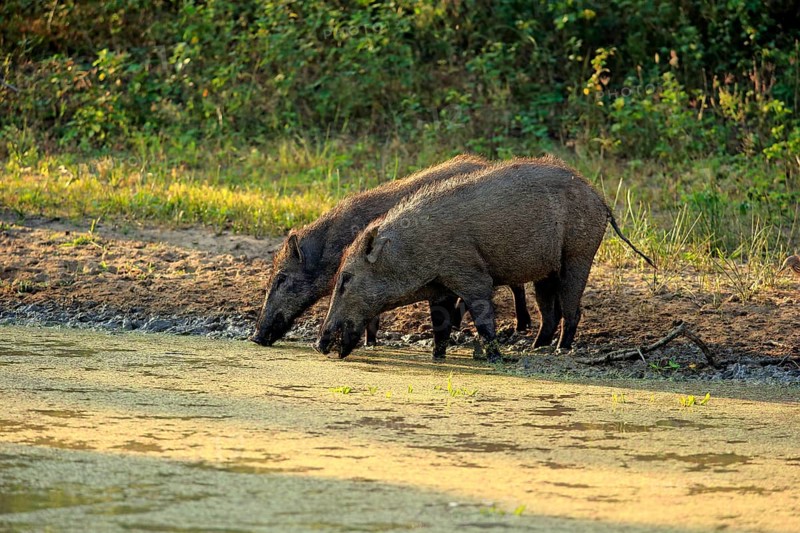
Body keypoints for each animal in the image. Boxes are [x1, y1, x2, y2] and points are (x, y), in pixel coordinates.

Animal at [317, 156, 655, 361]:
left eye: (345, 278)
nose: (318, 344)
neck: (412, 252)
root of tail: (600, 199)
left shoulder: (471, 275)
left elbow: (482, 317)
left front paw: (495, 357)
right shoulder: (440, 289)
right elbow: (439, 325)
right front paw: (437, 357)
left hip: (579, 254)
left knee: (573, 310)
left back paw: (561, 349)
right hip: (547, 270)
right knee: (549, 311)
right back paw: (537, 347)